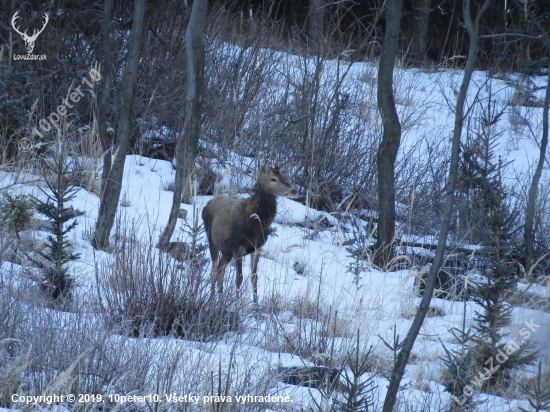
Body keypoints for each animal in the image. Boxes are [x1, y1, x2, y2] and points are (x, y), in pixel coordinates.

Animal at [203, 163, 298, 302]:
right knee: (214, 269)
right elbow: (239, 277)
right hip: (212, 241)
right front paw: (236, 302)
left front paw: (255, 303)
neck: (255, 222)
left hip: (227, 250)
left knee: (221, 270)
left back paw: (220, 297)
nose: (293, 190)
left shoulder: (257, 247)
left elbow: (254, 277)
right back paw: (211, 298)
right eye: (273, 179)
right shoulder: (238, 246)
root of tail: (207, 204)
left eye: (283, 176)